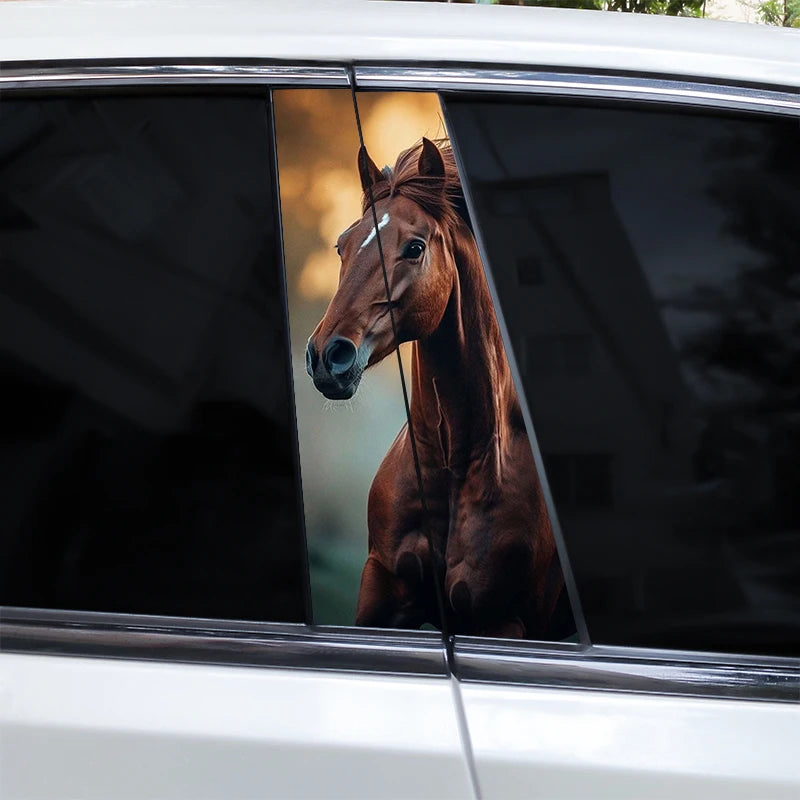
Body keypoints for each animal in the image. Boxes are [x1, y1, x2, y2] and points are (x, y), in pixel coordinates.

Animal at [306, 137, 571, 639]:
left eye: (414, 247)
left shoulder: (503, 622)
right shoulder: (380, 597)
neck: (456, 461)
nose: (328, 356)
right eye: (342, 244)